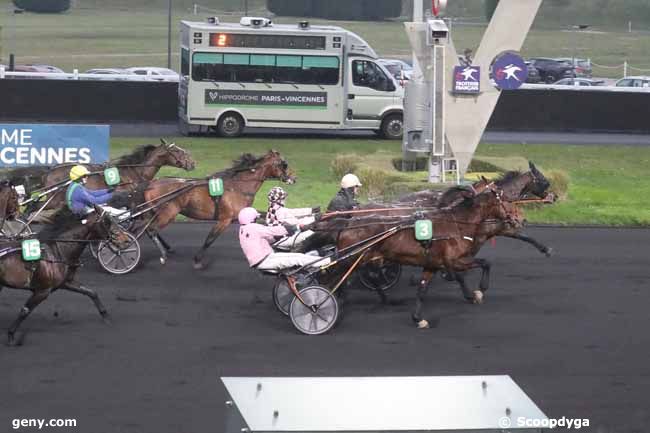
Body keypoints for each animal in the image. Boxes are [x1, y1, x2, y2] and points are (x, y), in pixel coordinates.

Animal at [0, 206, 132, 344]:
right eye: (107, 221)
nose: (126, 240)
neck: (57, 252)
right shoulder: (43, 290)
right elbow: (25, 311)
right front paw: (11, 335)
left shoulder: (66, 282)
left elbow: (91, 292)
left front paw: (105, 315)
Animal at [141, 150, 294, 268]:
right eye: (284, 164)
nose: (294, 178)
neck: (238, 187)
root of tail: (152, 183)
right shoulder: (225, 220)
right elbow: (210, 239)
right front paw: (197, 260)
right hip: (169, 213)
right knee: (151, 229)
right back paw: (163, 255)